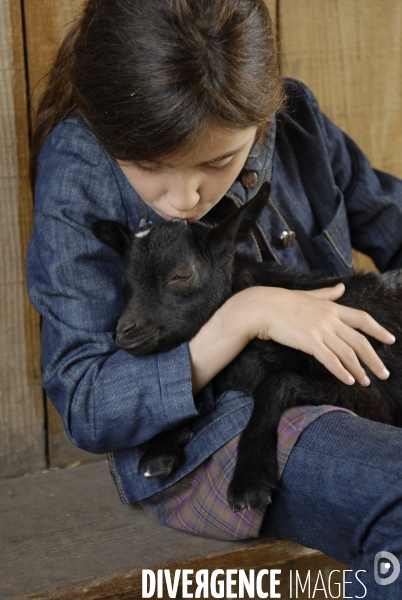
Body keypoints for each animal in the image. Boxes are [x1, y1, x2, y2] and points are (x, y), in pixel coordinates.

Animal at [92, 183, 402, 510]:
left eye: (181, 275)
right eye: (126, 282)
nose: (125, 333)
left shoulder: (364, 387)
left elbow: (275, 382)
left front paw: (251, 478)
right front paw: (160, 448)